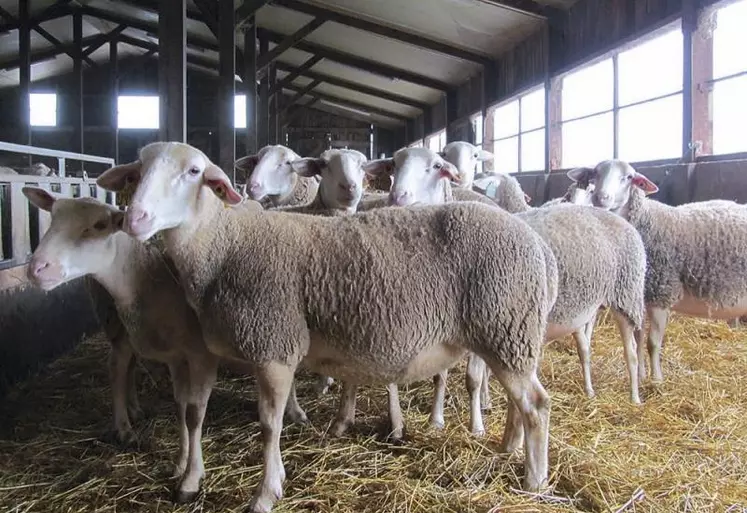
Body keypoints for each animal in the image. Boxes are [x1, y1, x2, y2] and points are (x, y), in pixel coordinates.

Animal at [22, 187, 310, 500]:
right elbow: (182, 408)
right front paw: (183, 464)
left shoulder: (195, 354)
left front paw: (188, 472)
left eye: (99, 225)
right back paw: (127, 424)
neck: (146, 278)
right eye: (52, 218)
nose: (37, 268)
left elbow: (190, 411)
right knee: (119, 367)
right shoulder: (177, 354)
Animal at [96, 141, 560, 512]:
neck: (224, 246)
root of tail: (535, 242)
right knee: (521, 402)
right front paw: (193, 481)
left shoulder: (274, 343)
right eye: (136, 172)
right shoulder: (222, 350)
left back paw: (534, 480)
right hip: (510, 334)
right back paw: (508, 447)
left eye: (194, 172)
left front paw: (266, 493)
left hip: (504, 326)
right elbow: (199, 413)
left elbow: (270, 424)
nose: (134, 218)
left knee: (537, 404)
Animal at [568, 161, 747, 384]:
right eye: (595, 173)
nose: (601, 198)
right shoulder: (640, 296)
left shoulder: (662, 293)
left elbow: (652, 343)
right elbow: (638, 338)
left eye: (628, 177)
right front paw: (642, 375)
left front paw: (657, 380)